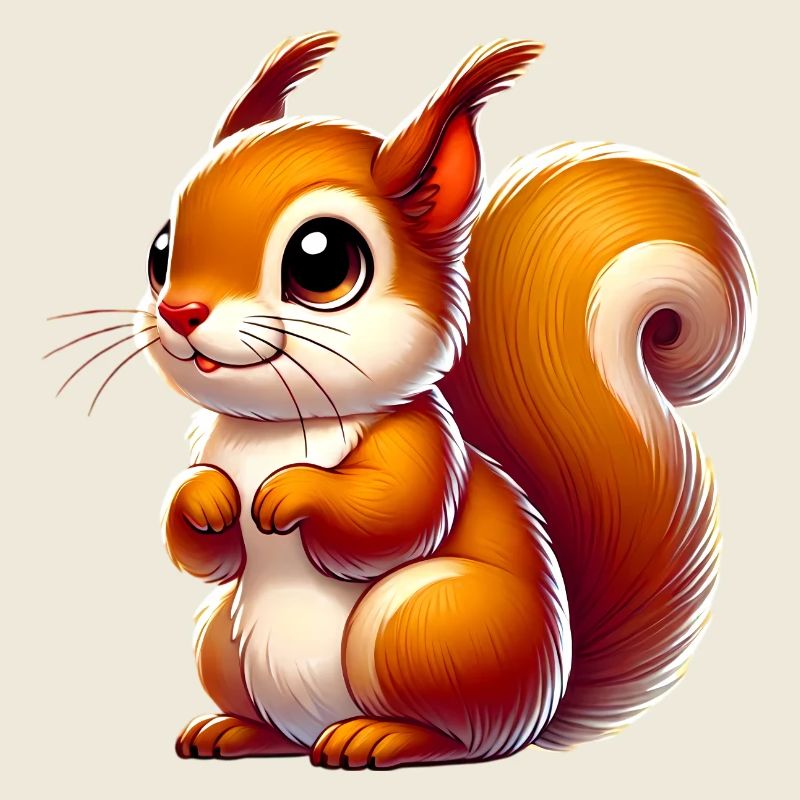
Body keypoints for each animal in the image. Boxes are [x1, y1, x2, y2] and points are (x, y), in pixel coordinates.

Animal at [136, 32, 755, 768]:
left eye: (321, 260)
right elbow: (210, 554)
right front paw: (205, 499)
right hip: (220, 641)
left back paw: (380, 736)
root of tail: (537, 710)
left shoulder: (423, 443)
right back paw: (233, 731)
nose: (179, 312)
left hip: (429, 627)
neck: (281, 426)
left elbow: (394, 516)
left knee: (458, 738)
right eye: (160, 250)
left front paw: (293, 492)